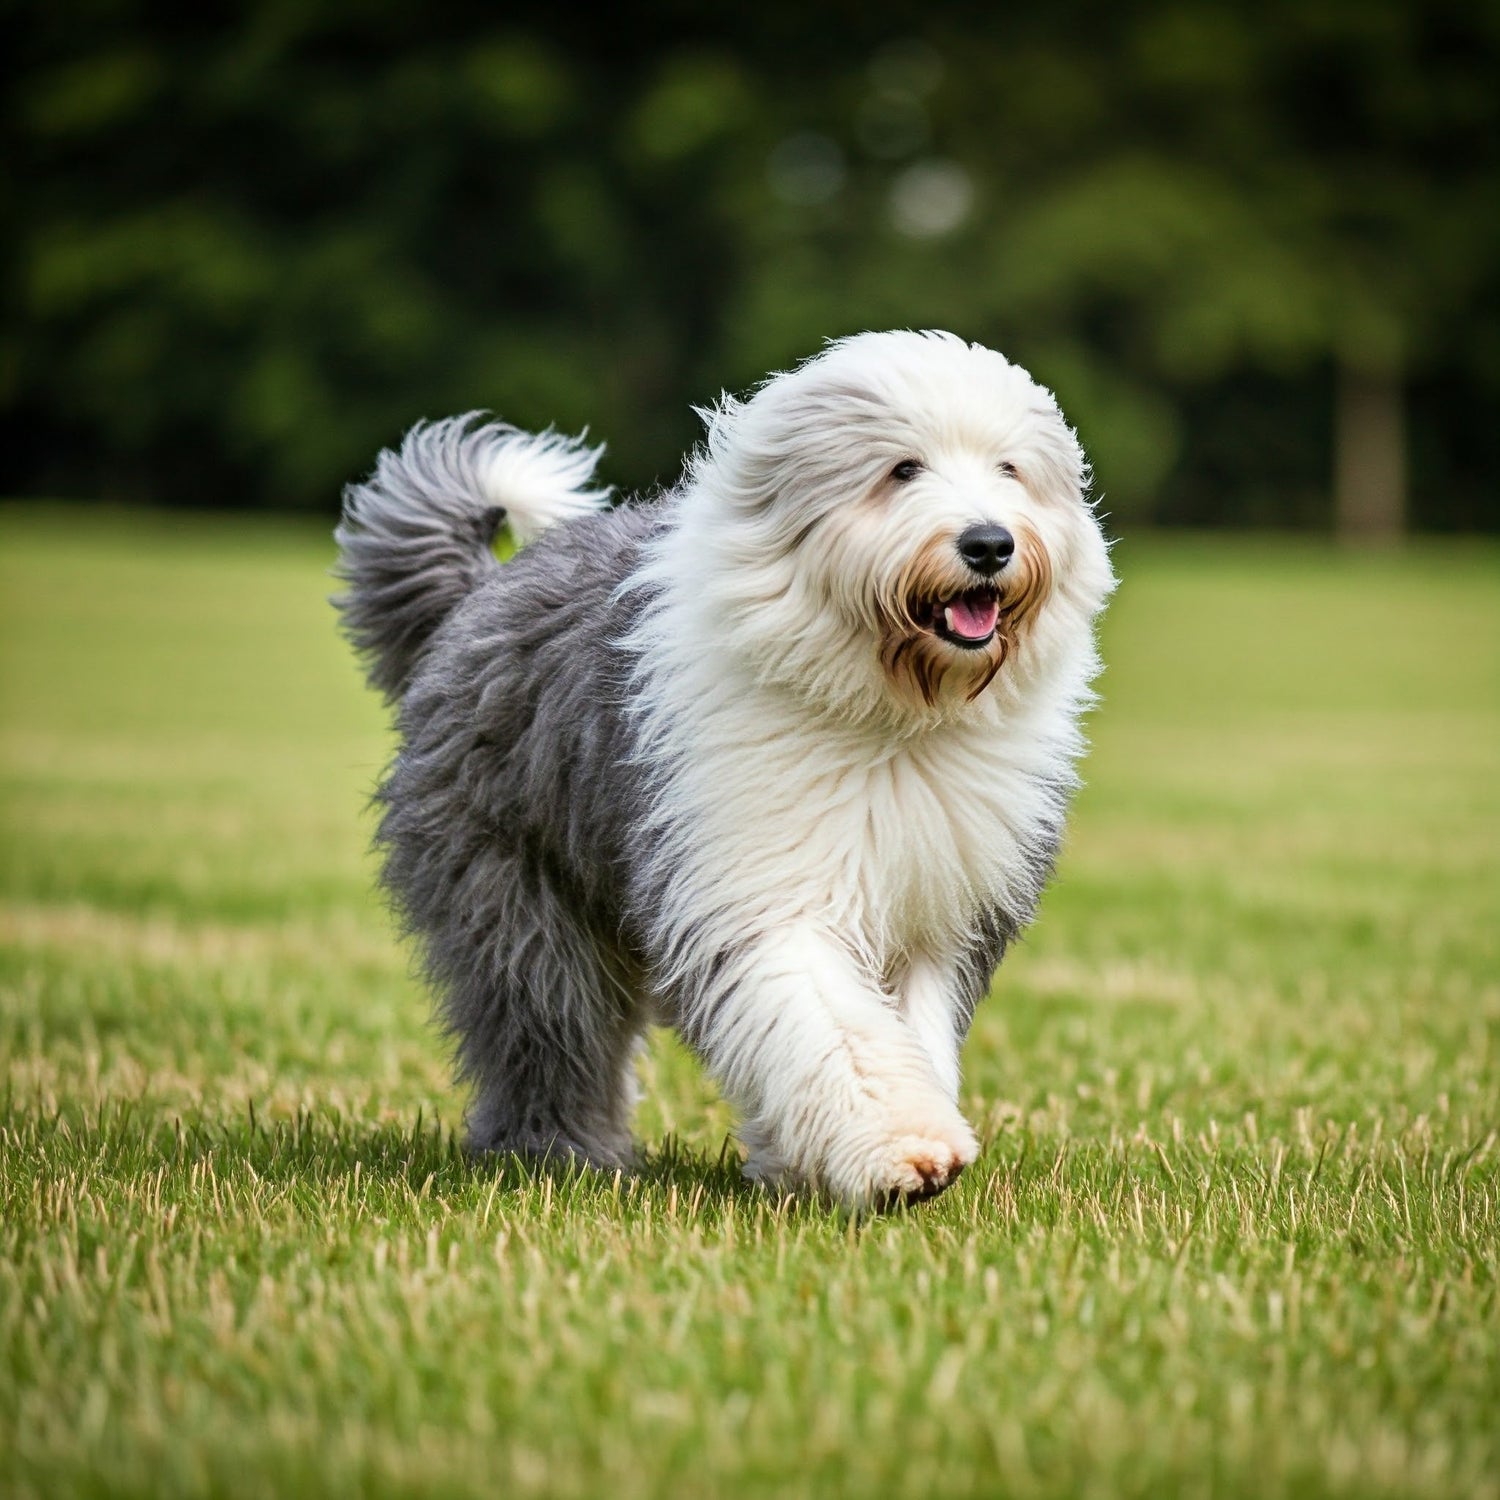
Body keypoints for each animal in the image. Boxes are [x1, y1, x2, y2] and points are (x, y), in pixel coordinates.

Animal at [337, 328, 1116, 1206]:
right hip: (516, 893)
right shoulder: (756, 887)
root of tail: (480, 591)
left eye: (1009, 469)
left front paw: (825, 1159)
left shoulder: (938, 913)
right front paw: (903, 1149)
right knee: (548, 1029)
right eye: (902, 469)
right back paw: (560, 1156)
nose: (989, 543)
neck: (892, 717)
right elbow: (826, 1021)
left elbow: (904, 1029)